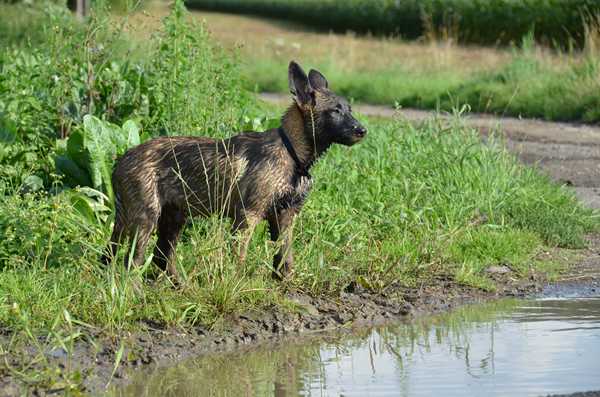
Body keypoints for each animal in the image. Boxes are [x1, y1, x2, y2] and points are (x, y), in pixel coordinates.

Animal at [99, 61, 366, 278]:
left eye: (349, 109)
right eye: (335, 111)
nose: (362, 131)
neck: (292, 154)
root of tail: (121, 160)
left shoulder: (286, 217)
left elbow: (285, 259)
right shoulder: (248, 216)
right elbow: (239, 258)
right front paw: (235, 284)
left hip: (171, 219)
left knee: (157, 259)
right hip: (146, 218)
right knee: (132, 262)